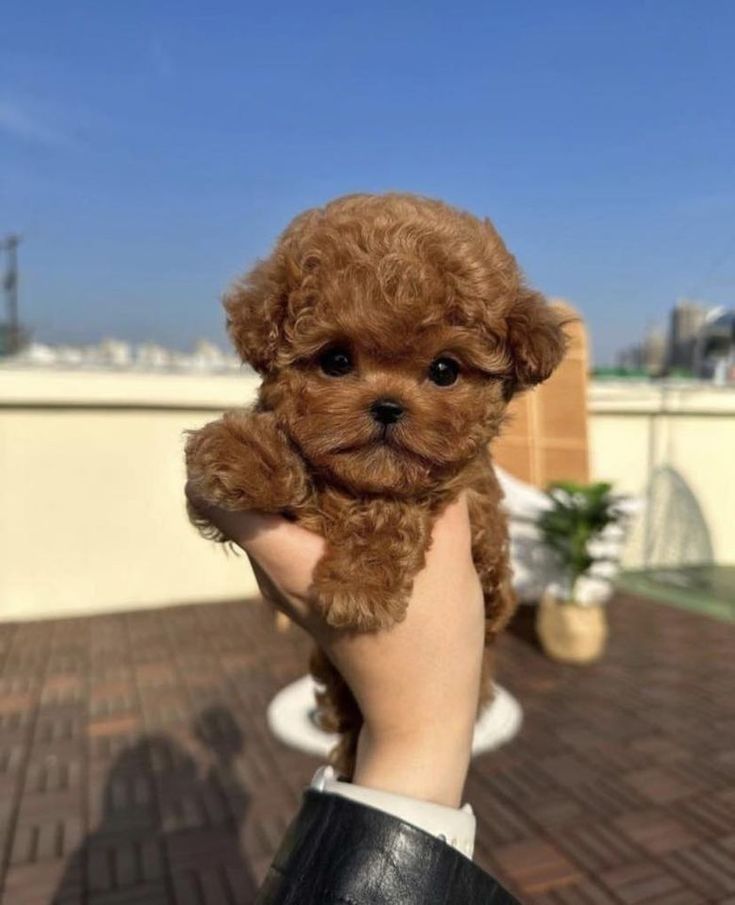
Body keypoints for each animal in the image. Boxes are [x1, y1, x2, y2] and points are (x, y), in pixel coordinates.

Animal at [187, 194, 568, 772]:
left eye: (444, 370)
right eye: (336, 360)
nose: (388, 406)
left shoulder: (468, 507)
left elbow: (394, 509)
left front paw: (358, 587)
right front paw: (241, 451)